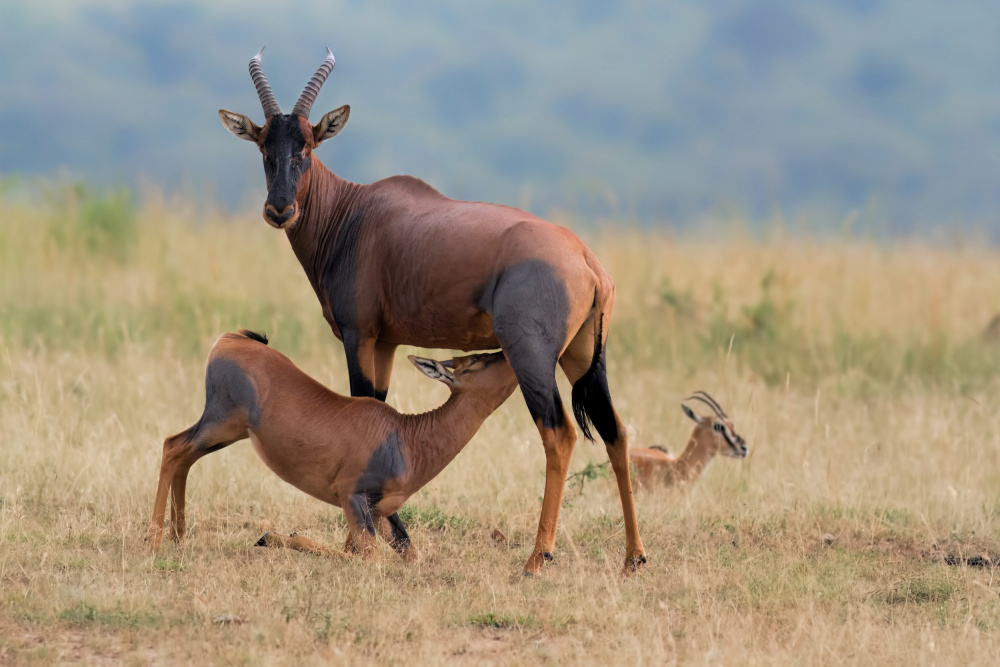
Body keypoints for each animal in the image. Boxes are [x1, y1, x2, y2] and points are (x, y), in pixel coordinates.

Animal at [215, 49, 644, 576]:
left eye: (309, 146)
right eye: (263, 146)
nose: (279, 210)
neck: (355, 215)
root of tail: (585, 259)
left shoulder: (359, 335)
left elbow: (363, 404)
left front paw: (378, 541)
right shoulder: (388, 341)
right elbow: (377, 404)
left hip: (533, 358)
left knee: (559, 433)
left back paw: (537, 557)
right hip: (584, 358)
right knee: (615, 431)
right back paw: (633, 557)